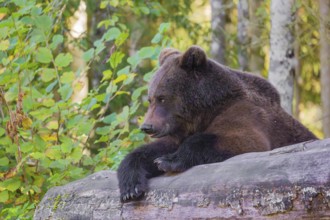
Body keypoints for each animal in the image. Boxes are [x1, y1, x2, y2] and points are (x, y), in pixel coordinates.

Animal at [116, 45, 318, 202]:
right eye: (150, 99)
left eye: (162, 98)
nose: (147, 126)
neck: (205, 111)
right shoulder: (182, 130)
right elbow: (150, 150)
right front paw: (130, 187)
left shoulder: (246, 113)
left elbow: (242, 140)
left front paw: (168, 161)